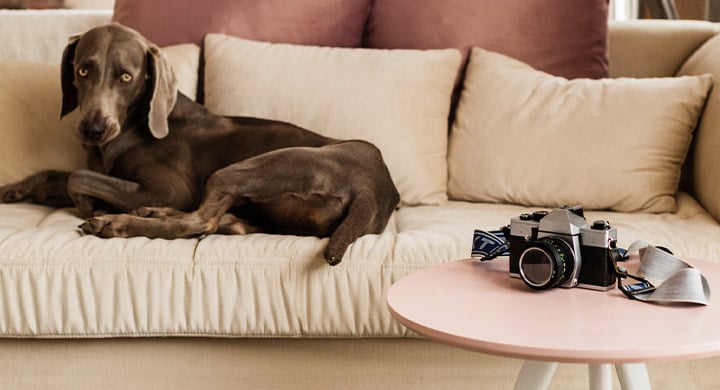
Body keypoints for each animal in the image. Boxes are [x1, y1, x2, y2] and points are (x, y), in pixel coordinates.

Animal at [0, 24, 400, 266]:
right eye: (83, 70)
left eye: (126, 77)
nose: (93, 129)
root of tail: (375, 190)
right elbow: (57, 172)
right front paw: (14, 189)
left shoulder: (169, 187)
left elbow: (78, 177)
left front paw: (90, 205)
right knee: (222, 222)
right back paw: (154, 214)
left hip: (254, 166)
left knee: (201, 219)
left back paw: (119, 222)